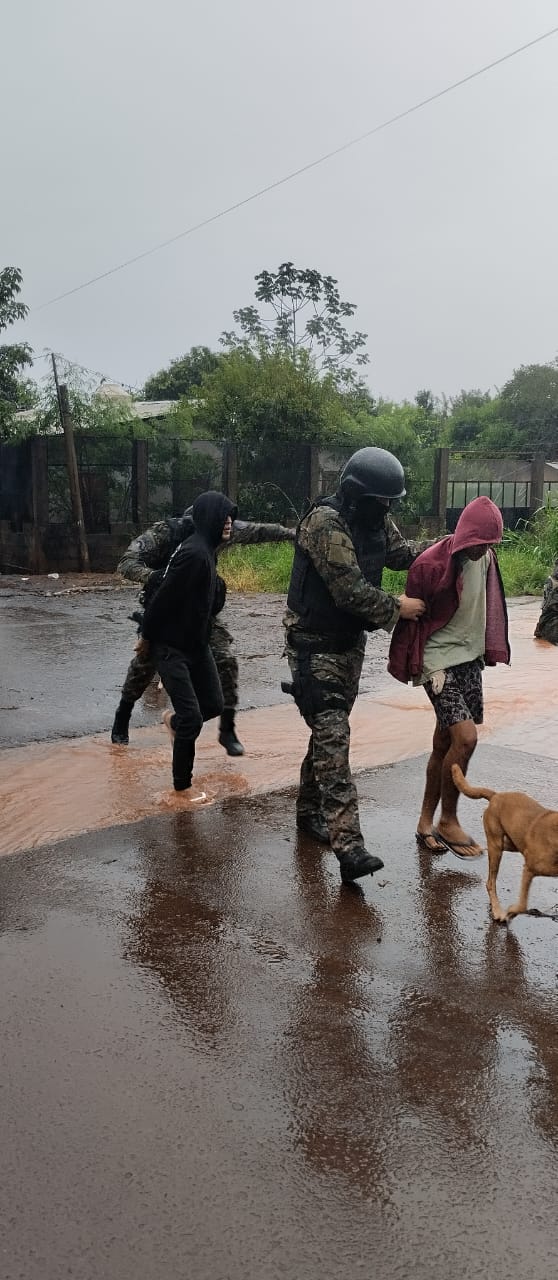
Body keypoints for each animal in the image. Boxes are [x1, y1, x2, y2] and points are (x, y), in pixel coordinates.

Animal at [450, 762, 558, 926]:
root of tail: (496, 795)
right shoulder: (529, 869)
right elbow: (522, 904)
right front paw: (510, 912)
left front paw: (511, 913)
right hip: (497, 847)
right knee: (490, 883)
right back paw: (496, 910)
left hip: (509, 844)